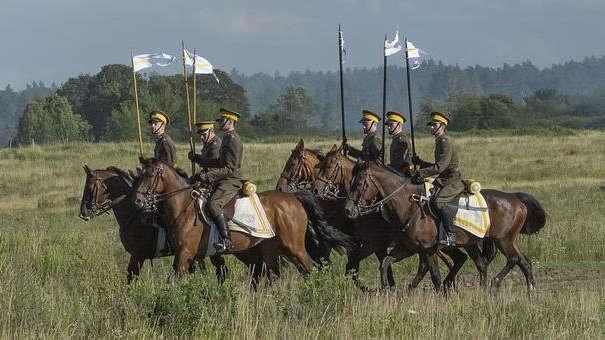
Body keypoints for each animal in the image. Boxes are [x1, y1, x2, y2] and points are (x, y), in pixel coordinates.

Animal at [132, 158, 350, 286]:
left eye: (149, 175)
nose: (138, 201)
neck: (184, 207)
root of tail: (294, 198)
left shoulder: (185, 253)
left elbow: (176, 280)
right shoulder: (189, 256)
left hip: (293, 246)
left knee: (307, 268)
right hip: (270, 248)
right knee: (276, 276)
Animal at [344, 161, 548, 294]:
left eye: (359, 184)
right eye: (350, 182)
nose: (348, 210)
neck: (410, 206)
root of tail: (515, 199)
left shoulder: (428, 250)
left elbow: (434, 275)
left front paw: (441, 294)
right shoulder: (408, 248)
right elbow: (385, 263)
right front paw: (387, 288)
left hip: (503, 240)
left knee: (513, 259)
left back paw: (495, 283)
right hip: (483, 242)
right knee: (519, 262)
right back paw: (528, 291)